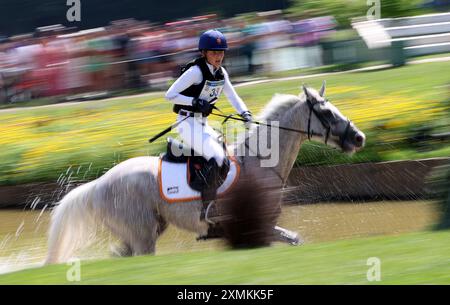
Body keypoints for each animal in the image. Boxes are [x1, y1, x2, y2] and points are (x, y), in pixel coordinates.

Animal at [44, 82, 366, 262]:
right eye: (327, 114)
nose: (359, 138)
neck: (262, 162)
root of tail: (99, 184)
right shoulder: (255, 226)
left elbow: (295, 239)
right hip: (142, 234)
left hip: (147, 229)